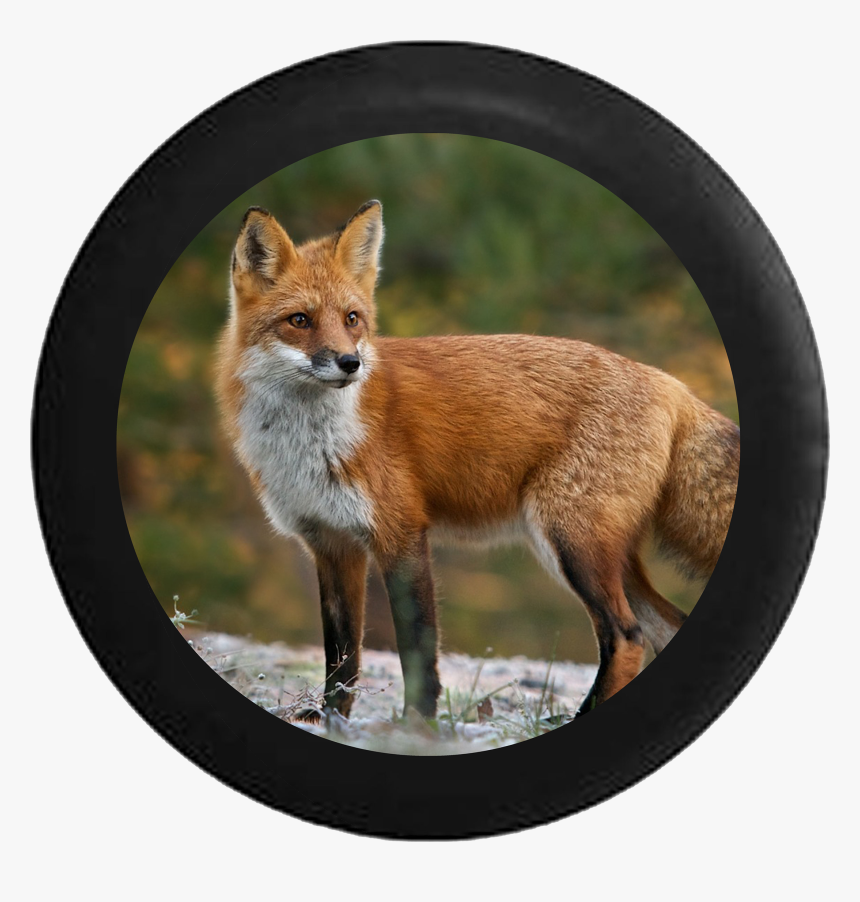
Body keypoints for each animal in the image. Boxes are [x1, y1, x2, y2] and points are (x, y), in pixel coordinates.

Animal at [215, 200, 740, 720]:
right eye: (299, 320)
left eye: (351, 319)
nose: (350, 363)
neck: (312, 445)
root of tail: (671, 384)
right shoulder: (330, 544)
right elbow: (341, 660)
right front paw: (333, 722)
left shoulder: (401, 533)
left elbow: (417, 650)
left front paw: (416, 727)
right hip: (602, 555)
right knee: (664, 628)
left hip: (572, 544)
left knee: (627, 637)